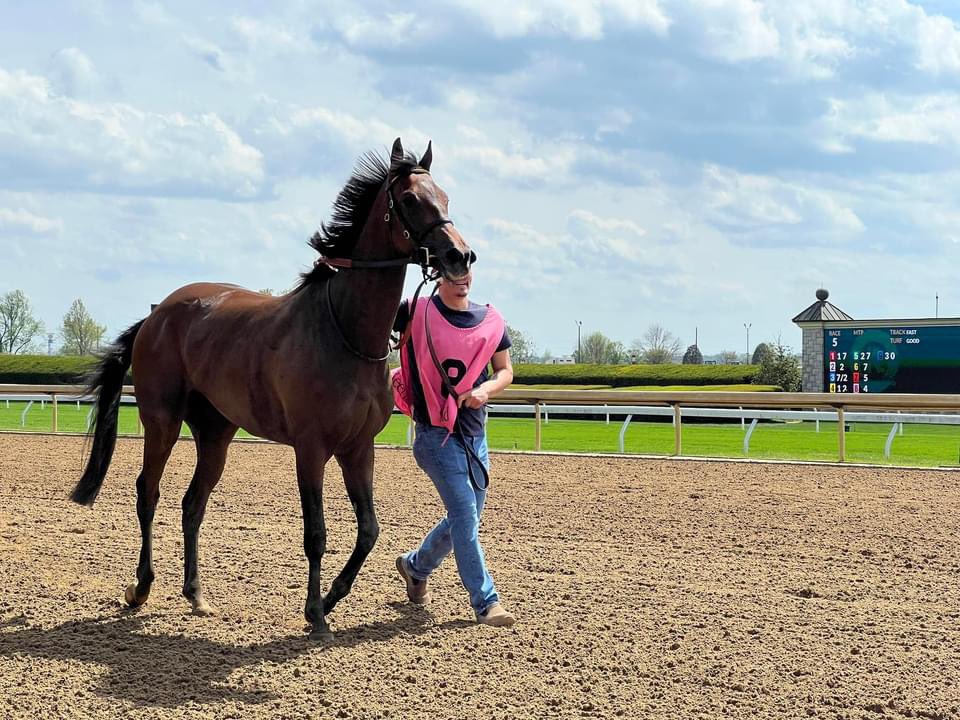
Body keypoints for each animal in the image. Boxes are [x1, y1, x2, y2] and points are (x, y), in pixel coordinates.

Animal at [67, 139, 472, 636]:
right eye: (412, 199)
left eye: (446, 197)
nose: (460, 256)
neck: (345, 331)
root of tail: (157, 313)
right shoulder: (310, 447)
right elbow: (316, 532)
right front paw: (315, 611)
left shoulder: (358, 447)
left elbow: (369, 529)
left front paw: (333, 597)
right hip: (161, 419)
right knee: (149, 492)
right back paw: (141, 587)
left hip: (216, 433)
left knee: (193, 502)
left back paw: (196, 594)